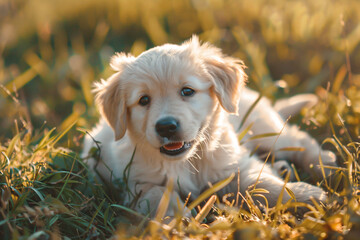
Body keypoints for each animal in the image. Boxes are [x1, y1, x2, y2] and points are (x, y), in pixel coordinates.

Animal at [83, 36, 336, 218]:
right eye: (143, 100)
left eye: (187, 91)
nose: (166, 126)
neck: (186, 162)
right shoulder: (133, 182)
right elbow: (155, 193)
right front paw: (175, 217)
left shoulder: (233, 165)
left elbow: (264, 184)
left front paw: (306, 195)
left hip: (266, 129)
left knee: (298, 139)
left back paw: (325, 163)